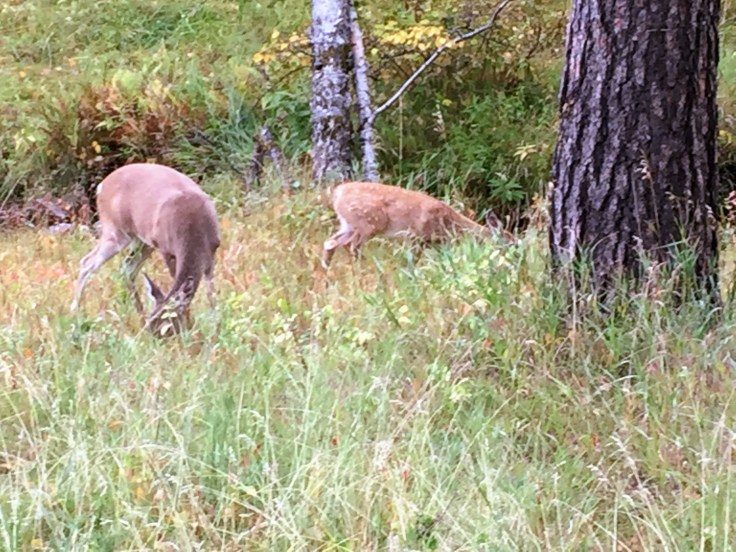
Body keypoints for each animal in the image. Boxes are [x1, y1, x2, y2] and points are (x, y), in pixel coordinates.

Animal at [70, 163, 221, 336]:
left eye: (166, 325)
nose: (151, 336)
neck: (195, 234)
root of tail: (101, 186)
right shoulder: (167, 250)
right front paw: (191, 324)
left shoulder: (212, 251)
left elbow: (210, 291)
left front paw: (216, 324)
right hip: (116, 230)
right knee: (87, 261)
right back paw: (75, 311)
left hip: (142, 241)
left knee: (126, 268)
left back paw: (135, 311)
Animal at [322, 181, 514, 268]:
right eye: (510, 241)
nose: (516, 257)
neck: (451, 225)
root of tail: (337, 193)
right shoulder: (417, 236)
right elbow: (412, 262)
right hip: (366, 223)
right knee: (351, 245)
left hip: (348, 224)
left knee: (331, 242)